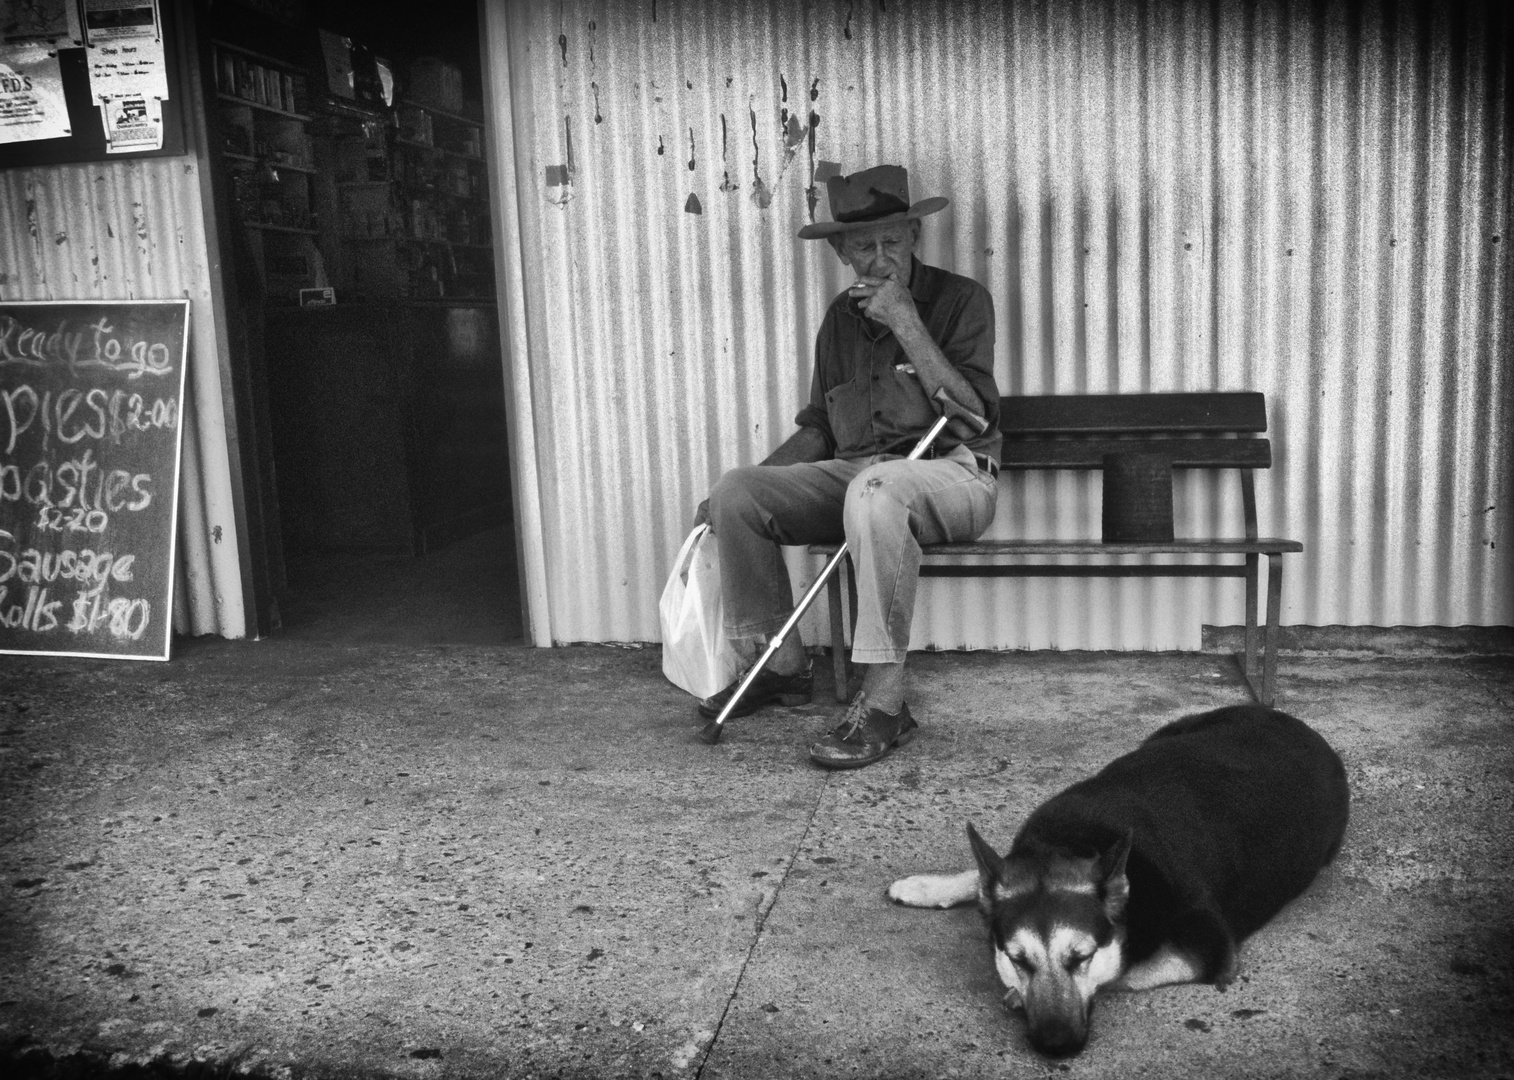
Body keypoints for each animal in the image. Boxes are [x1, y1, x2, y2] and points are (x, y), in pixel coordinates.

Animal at [884, 702, 1350, 1060]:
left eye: (1082, 958)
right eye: (1019, 960)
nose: (1057, 1049)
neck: (1072, 842)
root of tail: (1298, 724)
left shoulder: (1212, 952)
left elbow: (1121, 971)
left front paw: (1020, 994)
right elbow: (985, 876)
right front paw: (927, 886)